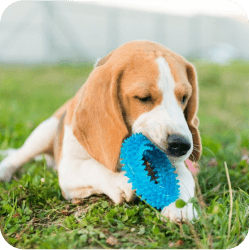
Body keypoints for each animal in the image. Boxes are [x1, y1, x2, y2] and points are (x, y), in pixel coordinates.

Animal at [0, 40, 201, 221]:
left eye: (184, 98)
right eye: (144, 98)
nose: (182, 145)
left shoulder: (176, 165)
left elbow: (183, 179)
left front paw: (181, 207)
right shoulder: (69, 168)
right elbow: (92, 166)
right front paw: (120, 181)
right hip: (45, 131)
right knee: (18, 155)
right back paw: (5, 171)